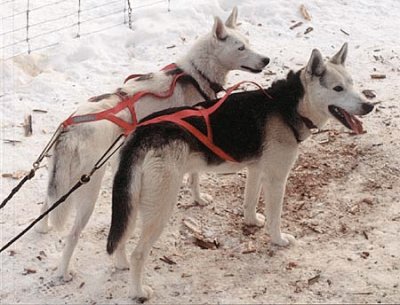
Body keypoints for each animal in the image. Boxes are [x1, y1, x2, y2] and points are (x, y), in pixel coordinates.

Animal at [36, 7, 268, 282]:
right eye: (241, 47)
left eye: (249, 42)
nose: (266, 60)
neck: (194, 74)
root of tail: (71, 128)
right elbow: (195, 176)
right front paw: (199, 198)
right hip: (88, 191)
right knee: (72, 234)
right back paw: (63, 272)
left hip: (61, 179)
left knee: (47, 203)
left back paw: (43, 228)